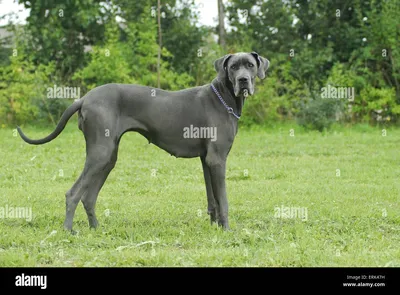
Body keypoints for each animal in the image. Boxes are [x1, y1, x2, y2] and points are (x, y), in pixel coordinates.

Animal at [18, 52, 268, 232]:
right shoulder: (217, 160)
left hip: (108, 157)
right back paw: (69, 231)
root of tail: (84, 98)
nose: (243, 80)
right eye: (234, 67)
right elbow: (223, 200)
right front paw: (226, 230)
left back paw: (96, 228)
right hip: (100, 153)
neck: (224, 97)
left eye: (250, 65)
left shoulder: (207, 160)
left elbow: (212, 199)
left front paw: (215, 227)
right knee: (73, 193)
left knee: (88, 196)